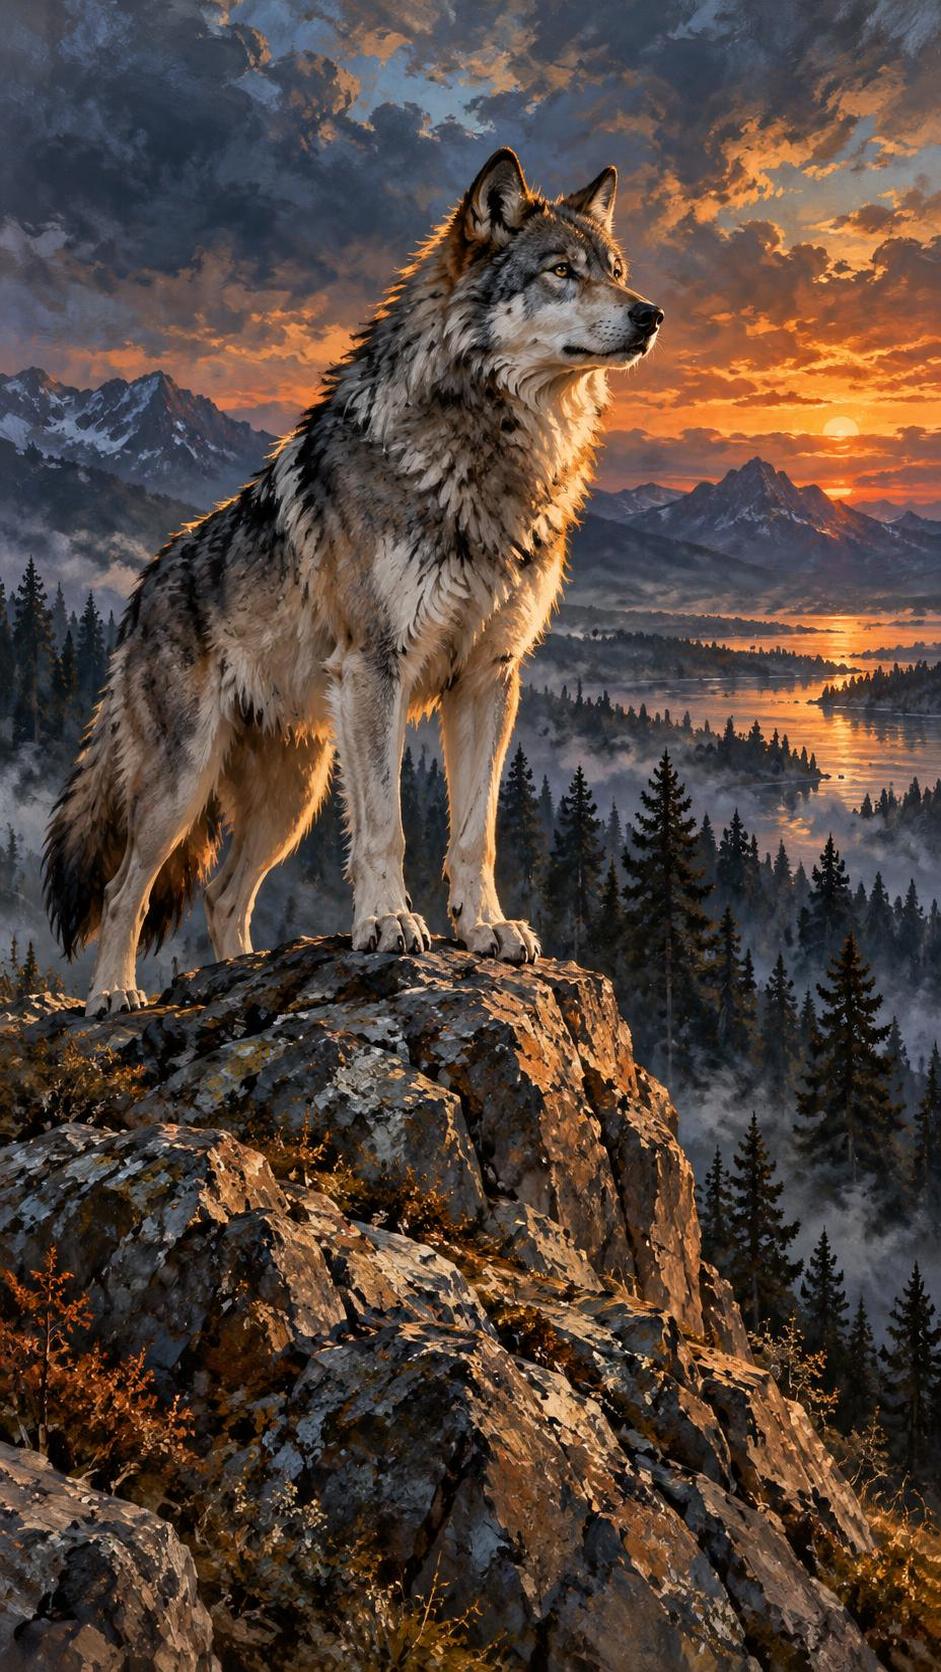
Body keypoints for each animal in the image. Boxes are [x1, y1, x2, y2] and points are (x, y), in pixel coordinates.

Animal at [44, 148, 662, 1015]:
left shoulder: (489, 678)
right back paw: (114, 996)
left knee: (223, 894)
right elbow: (385, 828)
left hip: (292, 795)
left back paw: (239, 974)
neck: (493, 454)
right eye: (561, 272)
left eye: (615, 270)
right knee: (128, 885)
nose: (651, 314)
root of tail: (145, 580)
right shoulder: (377, 668)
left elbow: (475, 834)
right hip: (184, 780)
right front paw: (388, 924)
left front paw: (487, 930)